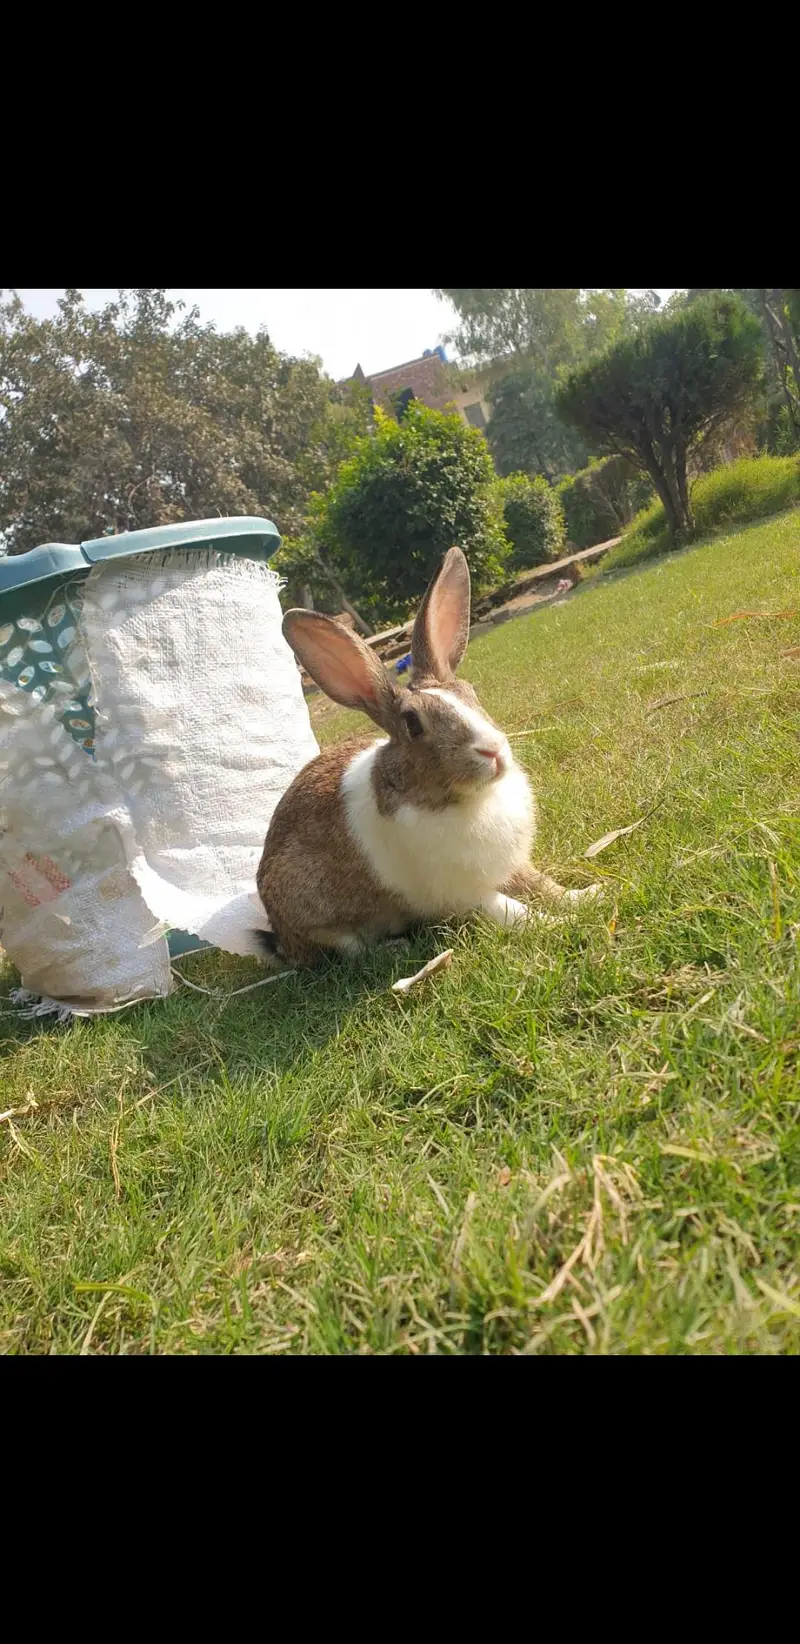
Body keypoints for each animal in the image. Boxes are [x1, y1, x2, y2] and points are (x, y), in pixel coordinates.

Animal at [256, 546, 600, 967]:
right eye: (413, 724)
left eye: (470, 692)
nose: (493, 749)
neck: (463, 800)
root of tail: (281, 940)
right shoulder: (463, 890)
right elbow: (509, 910)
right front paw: (556, 925)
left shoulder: (511, 867)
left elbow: (542, 885)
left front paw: (587, 897)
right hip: (314, 916)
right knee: (349, 949)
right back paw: (392, 948)